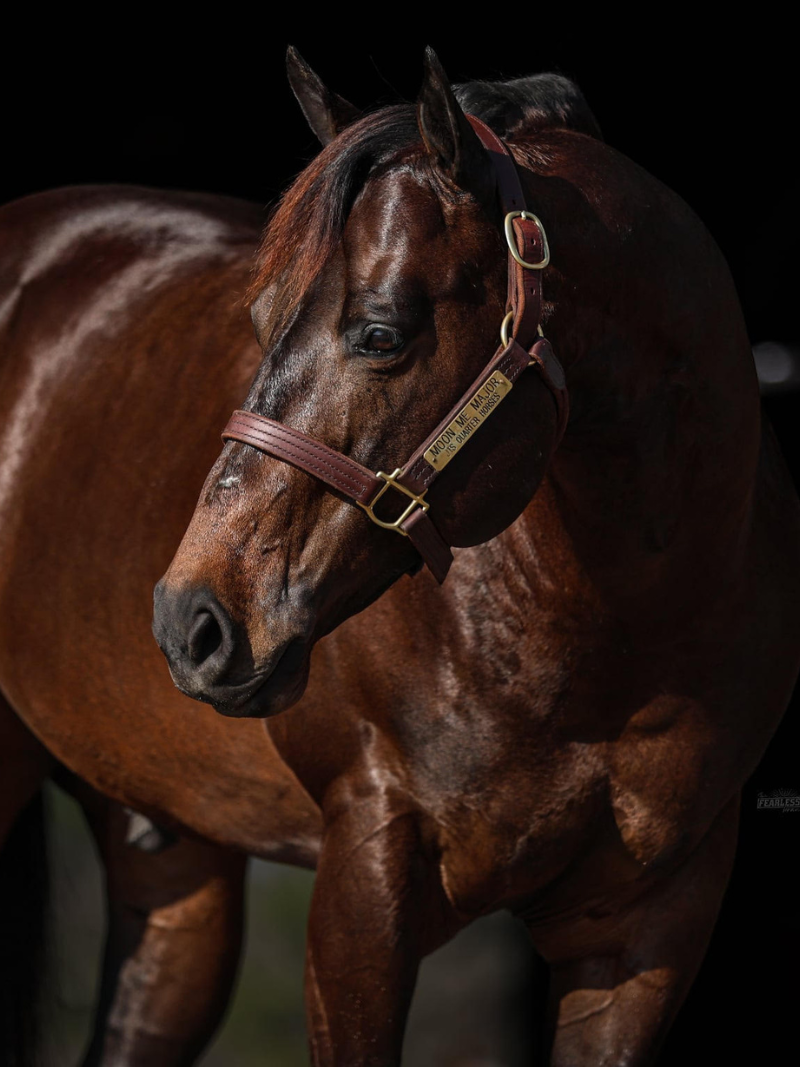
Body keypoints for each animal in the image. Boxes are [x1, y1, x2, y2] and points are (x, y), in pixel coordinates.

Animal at [1, 45, 798, 1066]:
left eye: (380, 331)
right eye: (259, 318)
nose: (191, 622)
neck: (618, 636)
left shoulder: (647, 932)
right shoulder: (364, 882)